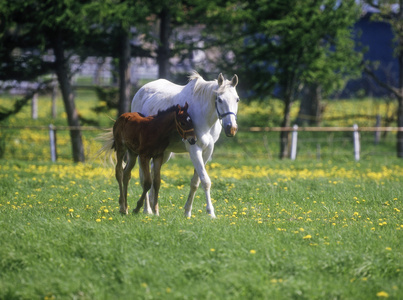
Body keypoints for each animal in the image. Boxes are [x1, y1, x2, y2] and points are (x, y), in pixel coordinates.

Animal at [132, 72, 240, 218]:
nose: (231, 128)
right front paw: (211, 213)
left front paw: (187, 212)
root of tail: (141, 91)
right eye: (220, 99)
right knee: (144, 176)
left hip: (165, 153)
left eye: (237, 99)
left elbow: (195, 182)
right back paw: (147, 209)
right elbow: (205, 181)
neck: (203, 116)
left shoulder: (207, 151)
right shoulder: (194, 150)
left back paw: (154, 206)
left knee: (154, 172)